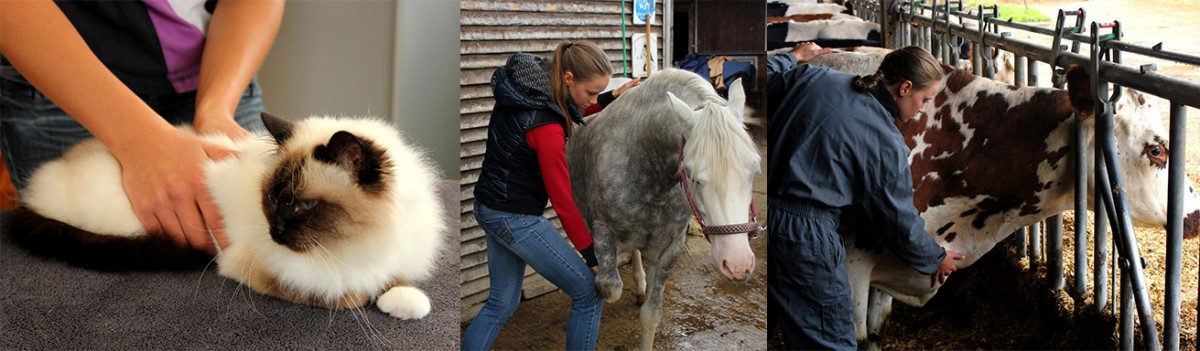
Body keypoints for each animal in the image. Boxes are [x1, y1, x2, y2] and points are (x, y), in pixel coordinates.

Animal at [4, 112, 446, 319]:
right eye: (272, 199)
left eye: (303, 205)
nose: (275, 231)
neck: (358, 243)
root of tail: (36, 184)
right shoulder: (263, 267)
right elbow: (343, 294)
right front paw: (376, 297)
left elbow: (391, 277)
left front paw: (404, 300)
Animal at [564, 67, 753, 348]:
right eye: (691, 174)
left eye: (755, 168)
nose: (738, 263)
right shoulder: (602, 234)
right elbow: (609, 289)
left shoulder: (669, 250)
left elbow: (651, 315)